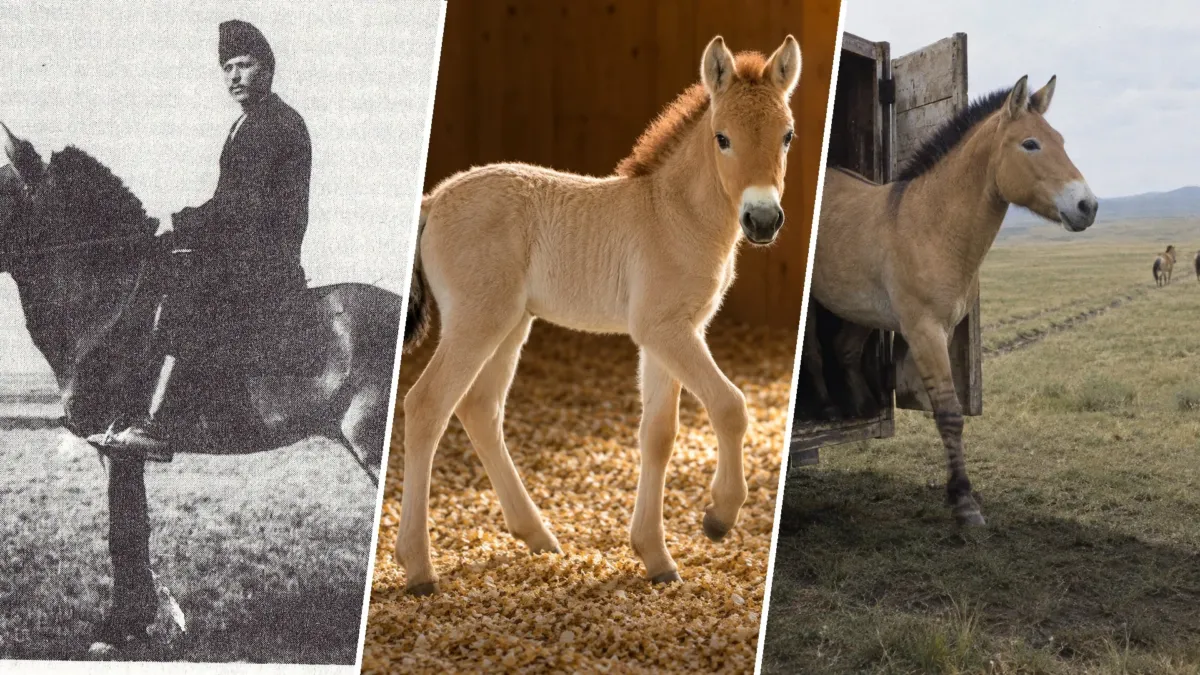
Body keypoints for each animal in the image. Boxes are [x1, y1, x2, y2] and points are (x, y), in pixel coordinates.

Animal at [0, 123, 400, 653]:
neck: (106, 300)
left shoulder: (116, 444)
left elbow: (123, 533)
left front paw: (118, 628)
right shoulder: (114, 451)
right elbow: (134, 527)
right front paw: (135, 622)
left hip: (371, 442)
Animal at [393, 35, 801, 594]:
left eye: (786, 135)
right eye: (722, 138)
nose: (762, 220)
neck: (671, 214)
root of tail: (433, 201)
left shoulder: (668, 335)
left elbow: (658, 435)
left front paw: (657, 559)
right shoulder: (666, 330)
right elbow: (730, 405)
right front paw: (719, 516)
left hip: (511, 324)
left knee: (479, 409)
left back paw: (538, 537)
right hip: (477, 321)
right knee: (428, 405)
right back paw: (419, 568)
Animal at [802, 75, 1096, 527]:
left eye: (1060, 140)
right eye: (1030, 144)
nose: (1088, 206)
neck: (931, 224)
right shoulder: (925, 334)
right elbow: (949, 414)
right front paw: (963, 501)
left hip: (859, 308)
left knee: (844, 350)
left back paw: (858, 405)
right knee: (816, 350)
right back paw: (828, 406)